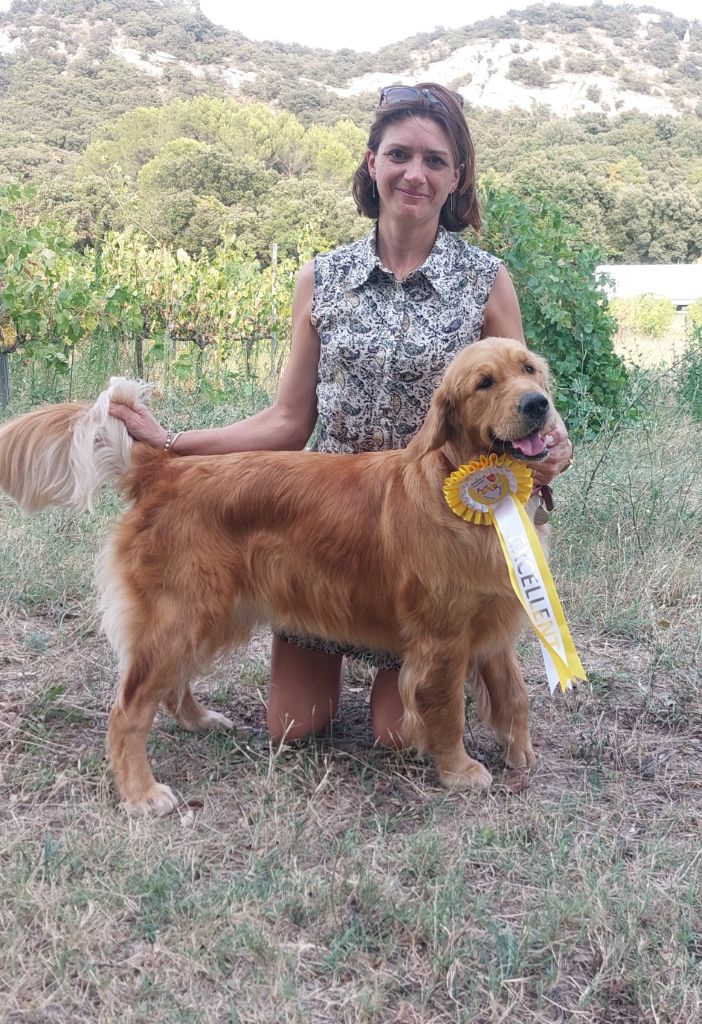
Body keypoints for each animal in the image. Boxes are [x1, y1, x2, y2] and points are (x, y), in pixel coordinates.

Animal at [0, 337, 557, 815]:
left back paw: (200, 721)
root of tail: (165, 470)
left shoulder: (490, 617)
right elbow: (447, 709)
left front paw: (521, 752)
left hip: (206, 613)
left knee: (170, 685)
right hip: (182, 613)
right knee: (128, 708)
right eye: (484, 382)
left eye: (529, 368)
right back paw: (140, 792)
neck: (458, 485)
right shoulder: (442, 638)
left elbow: (513, 693)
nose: (537, 404)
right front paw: (459, 770)